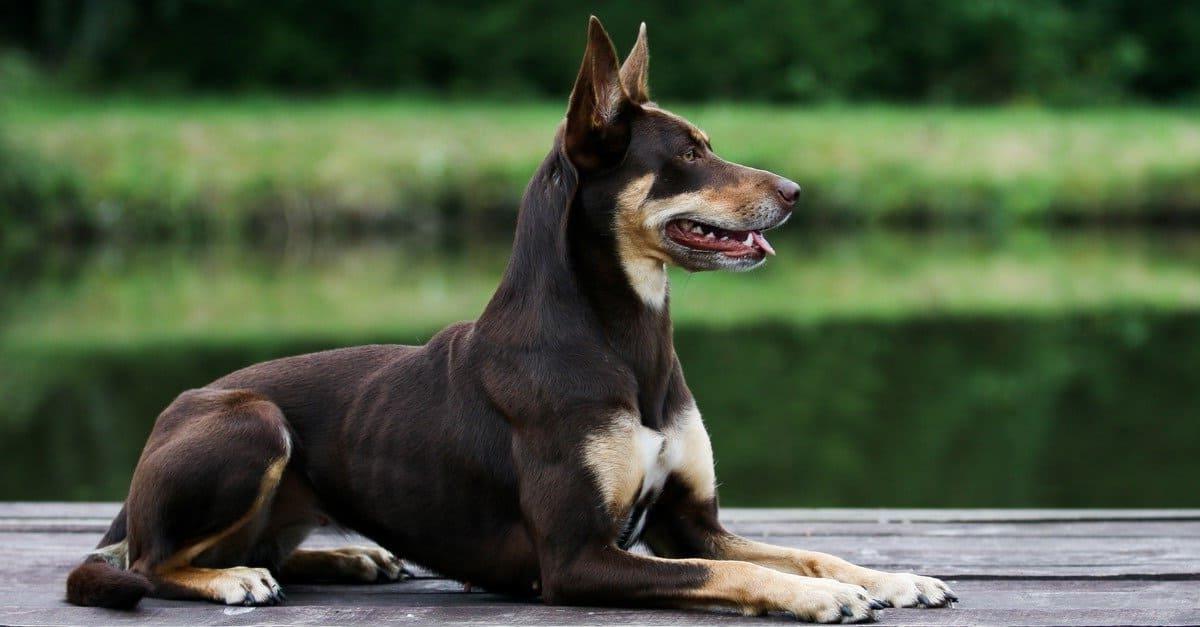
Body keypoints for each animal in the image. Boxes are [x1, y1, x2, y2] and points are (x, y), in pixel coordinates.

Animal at [68, 17, 955, 614]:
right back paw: (230, 577)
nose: (797, 193)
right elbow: (743, 570)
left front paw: (894, 576)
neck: (621, 338)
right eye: (689, 153)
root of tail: (167, 419)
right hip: (251, 423)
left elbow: (805, 550)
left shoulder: (690, 524)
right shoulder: (576, 558)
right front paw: (813, 597)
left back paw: (353, 560)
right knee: (148, 562)